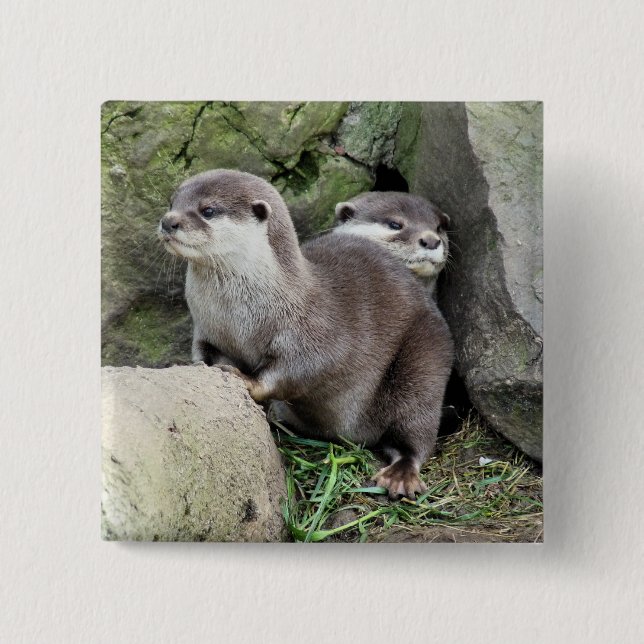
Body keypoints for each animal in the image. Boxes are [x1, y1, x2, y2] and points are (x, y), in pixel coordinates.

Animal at [159, 170, 453, 499]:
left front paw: (247, 380)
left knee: (417, 429)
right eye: (172, 202)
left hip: (425, 359)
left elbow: (301, 370)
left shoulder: (316, 332)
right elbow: (204, 353)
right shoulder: (207, 329)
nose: (168, 221)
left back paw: (400, 474)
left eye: (207, 210)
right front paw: (197, 367)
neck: (240, 317)